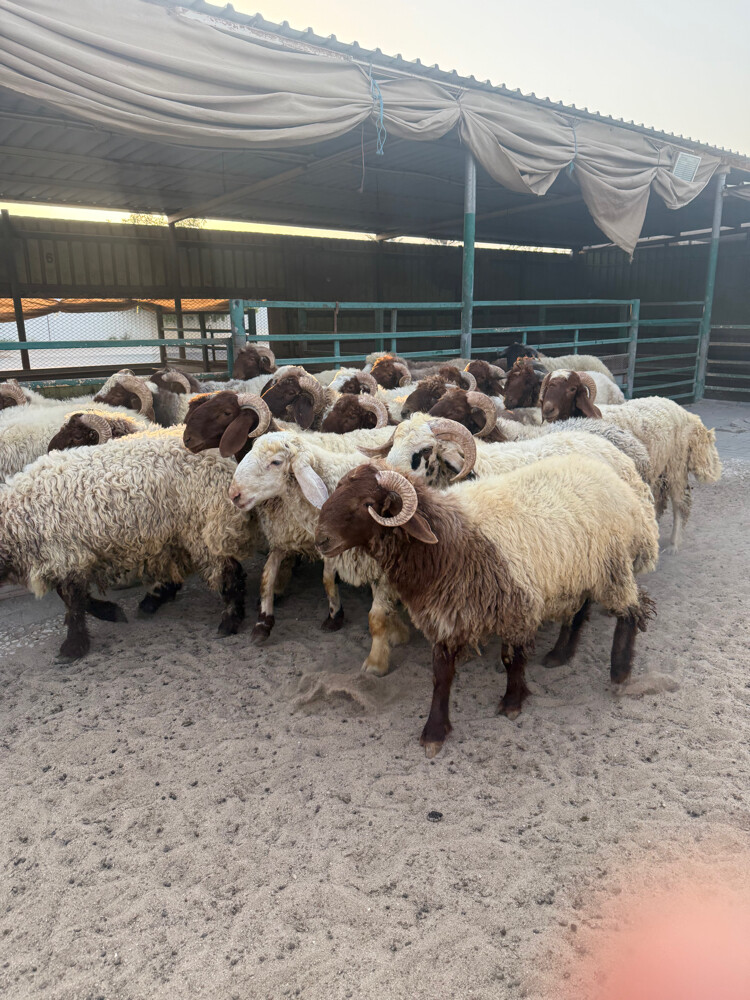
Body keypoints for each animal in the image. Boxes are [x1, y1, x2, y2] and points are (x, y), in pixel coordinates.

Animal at [0, 427, 260, 660]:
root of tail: (224, 458)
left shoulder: (66, 554)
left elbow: (72, 600)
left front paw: (73, 646)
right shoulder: (65, 557)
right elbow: (74, 597)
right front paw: (109, 613)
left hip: (206, 525)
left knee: (229, 572)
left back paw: (229, 621)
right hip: (177, 530)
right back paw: (153, 601)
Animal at [229, 432, 409, 676]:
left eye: (276, 462)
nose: (233, 494)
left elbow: (375, 614)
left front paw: (376, 661)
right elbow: (268, 577)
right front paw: (262, 624)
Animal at [314, 456, 658, 755]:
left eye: (366, 504)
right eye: (338, 489)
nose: (320, 540)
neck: (444, 543)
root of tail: (613, 479)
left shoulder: (516, 607)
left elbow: (512, 659)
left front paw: (512, 702)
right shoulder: (445, 616)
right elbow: (441, 676)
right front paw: (435, 732)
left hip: (612, 566)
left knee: (632, 611)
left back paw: (620, 672)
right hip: (579, 572)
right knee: (579, 611)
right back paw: (560, 655)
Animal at [539, 373, 722, 551]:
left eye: (572, 388)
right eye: (547, 387)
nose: (548, 409)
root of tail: (688, 414)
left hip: (676, 464)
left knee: (680, 502)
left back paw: (674, 544)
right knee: (660, 498)